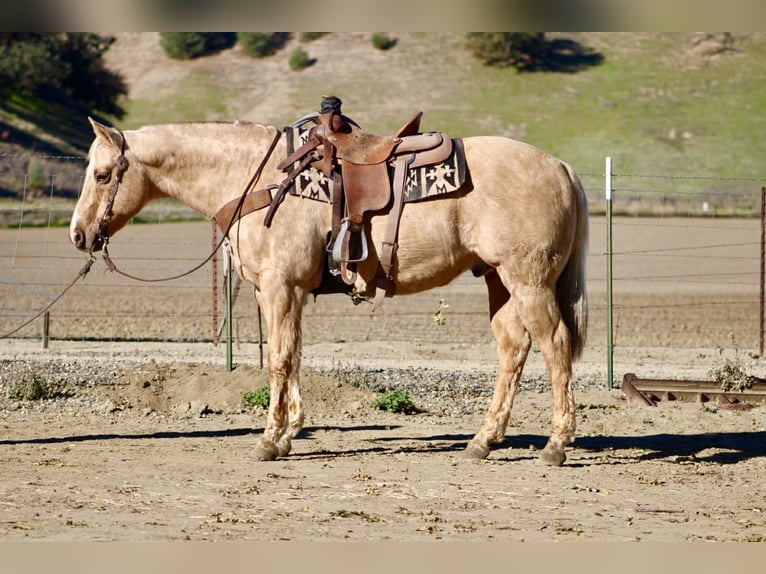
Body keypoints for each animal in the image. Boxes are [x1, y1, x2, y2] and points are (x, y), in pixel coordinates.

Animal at [69, 115, 588, 466]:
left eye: (101, 175)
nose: (77, 235)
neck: (258, 177)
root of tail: (562, 167)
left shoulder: (280, 286)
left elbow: (279, 359)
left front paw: (269, 439)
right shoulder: (286, 292)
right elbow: (293, 353)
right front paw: (289, 432)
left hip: (530, 282)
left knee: (555, 346)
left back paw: (556, 444)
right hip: (500, 281)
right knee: (513, 349)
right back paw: (482, 440)